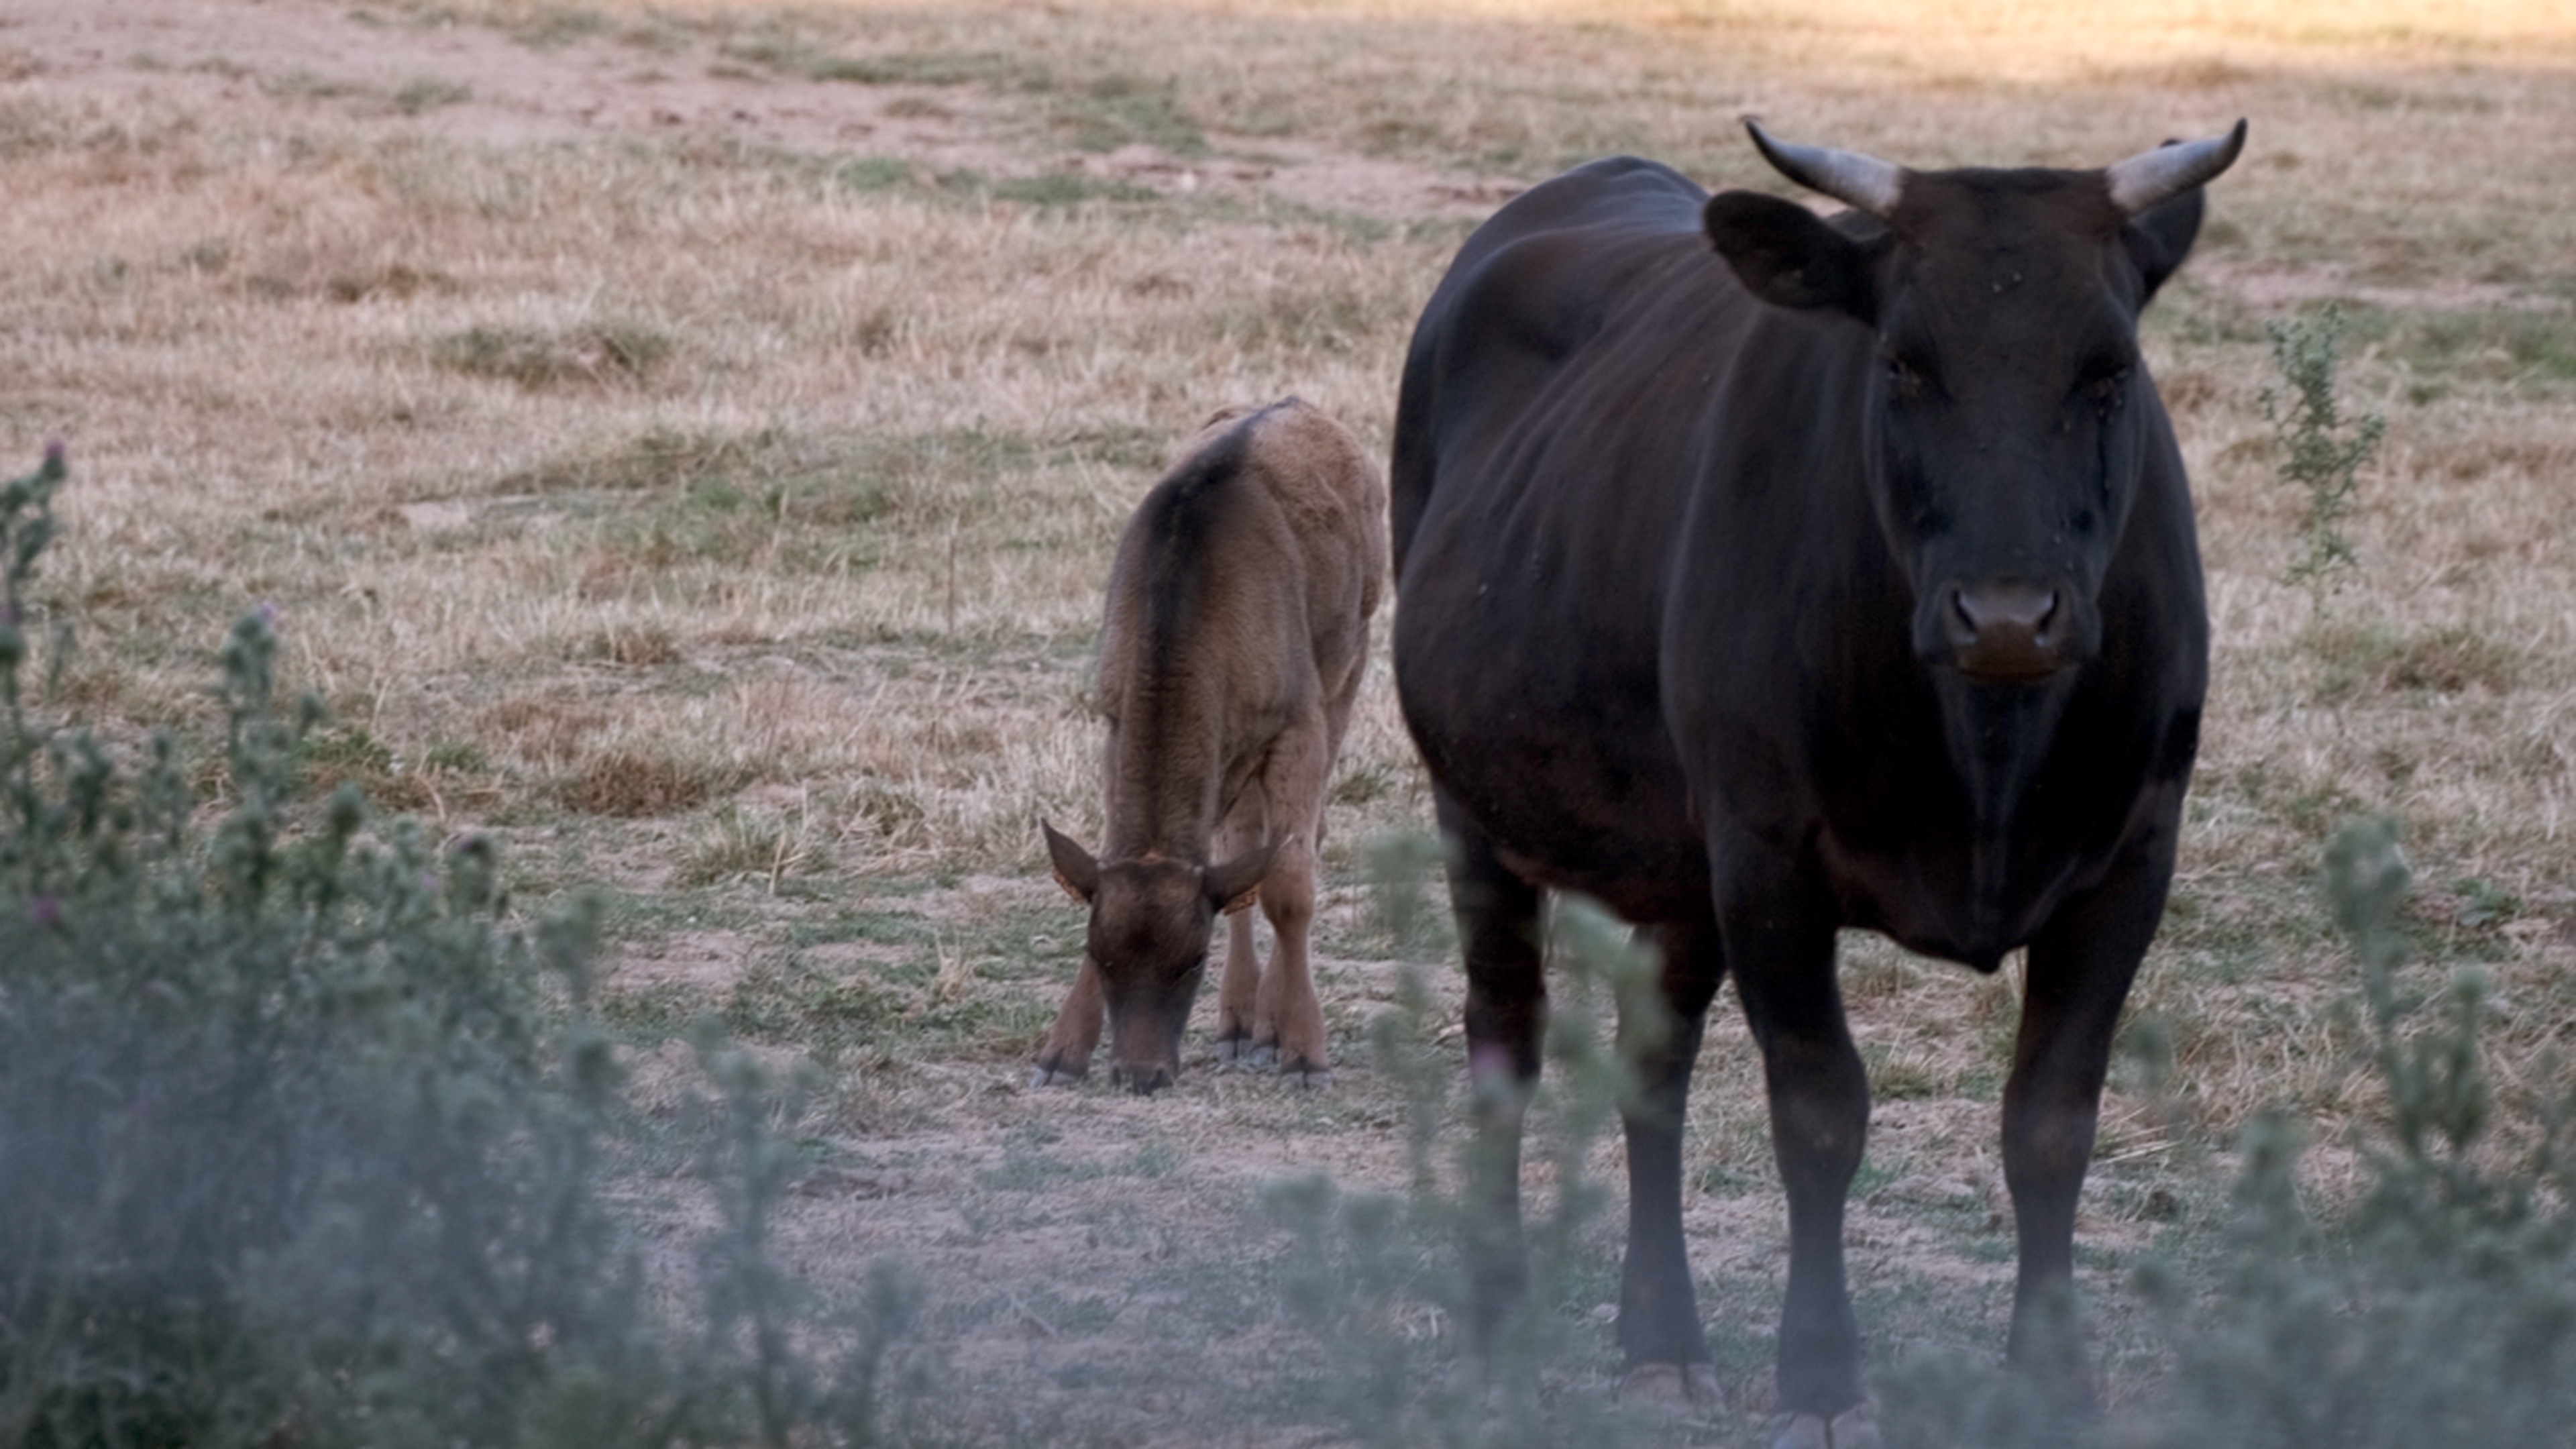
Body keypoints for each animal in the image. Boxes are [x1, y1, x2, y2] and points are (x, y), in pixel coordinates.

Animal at [1030, 396, 1381, 1093]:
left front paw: (1306, 1053)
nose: (1141, 1073)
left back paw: (1268, 1030)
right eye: (1099, 954)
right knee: (1241, 839)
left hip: (1350, 663)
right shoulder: (1115, 715)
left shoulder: (1299, 720)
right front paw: (1062, 1052)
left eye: (1192, 960)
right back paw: (1242, 1025)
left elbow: (1290, 884)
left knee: (1297, 838)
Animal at [1401, 118, 2246, 1433]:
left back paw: (1660, 1337)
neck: (1985, 747)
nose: (2011, 615)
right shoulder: (1769, 858)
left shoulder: (2132, 858)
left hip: (1678, 860)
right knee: (1506, 1041)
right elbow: (1819, 1112)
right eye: (1902, 364)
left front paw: (2052, 1376)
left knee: (1654, 1062)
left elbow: (2052, 1124)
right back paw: (1498, 1318)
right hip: (1478, 809)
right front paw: (1821, 1374)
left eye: (2109, 370)